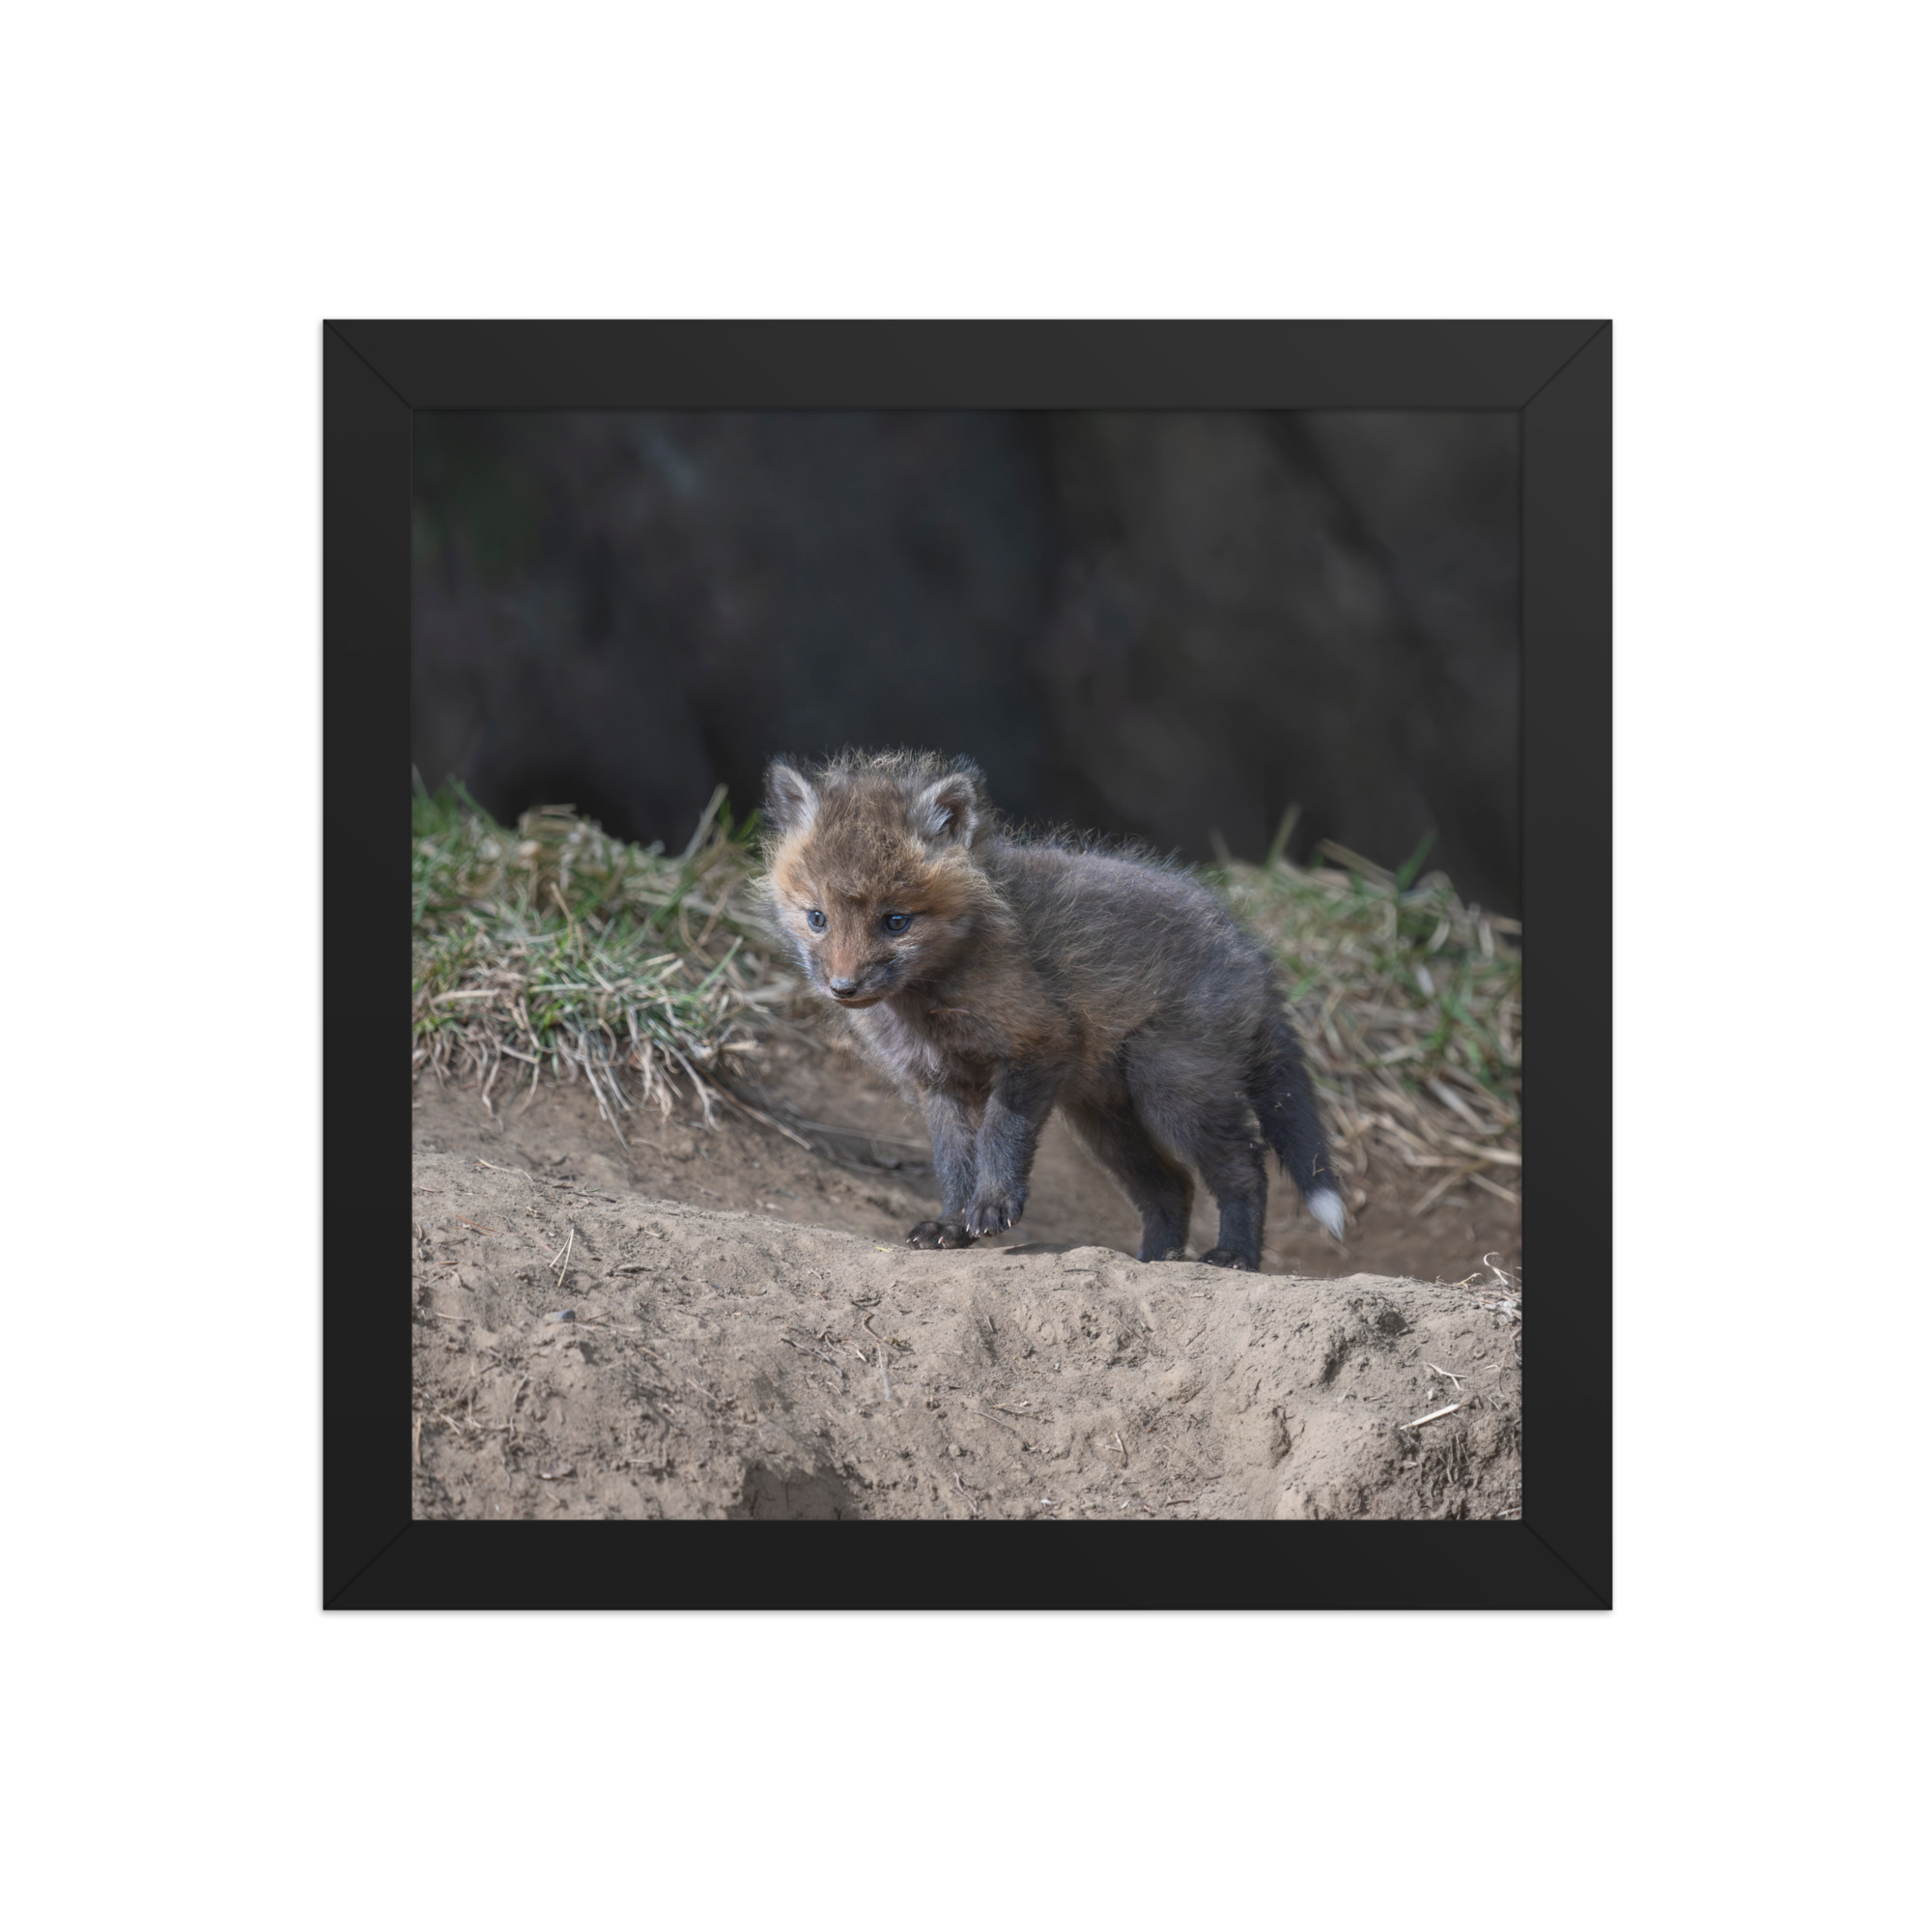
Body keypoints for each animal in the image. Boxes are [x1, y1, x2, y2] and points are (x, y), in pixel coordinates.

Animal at [760, 749, 1348, 1270]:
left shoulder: (1038, 1045)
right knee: (1172, 1186)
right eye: (817, 918)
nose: (843, 988)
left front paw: (993, 1206)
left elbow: (1000, 1135)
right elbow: (953, 1162)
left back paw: (1234, 1256)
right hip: (1105, 1120)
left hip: (1173, 1090)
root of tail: (1251, 950)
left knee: (1245, 1166)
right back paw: (1155, 1261)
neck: (931, 1004)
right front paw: (951, 1225)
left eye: (896, 921)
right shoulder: (938, 1083)